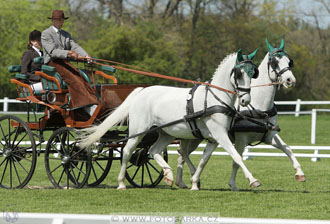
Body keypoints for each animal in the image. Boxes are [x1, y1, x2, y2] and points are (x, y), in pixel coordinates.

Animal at [79, 49, 260, 189]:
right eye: (239, 73)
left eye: (253, 73)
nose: (246, 100)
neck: (214, 98)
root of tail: (141, 91)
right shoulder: (220, 135)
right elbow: (236, 156)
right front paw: (253, 180)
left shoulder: (213, 139)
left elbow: (204, 160)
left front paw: (194, 182)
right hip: (138, 131)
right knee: (127, 151)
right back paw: (122, 183)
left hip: (166, 133)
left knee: (154, 150)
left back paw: (169, 175)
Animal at [175, 38, 306, 191]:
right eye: (274, 62)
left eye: (289, 61)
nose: (290, 80)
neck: (259, 105)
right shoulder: (241, 139)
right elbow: (236, 161)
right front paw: (238, 183)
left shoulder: (269, 135)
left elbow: (287, 148)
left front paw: (299, 173)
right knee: (182, 154)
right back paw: (182, 179)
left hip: (194, 137)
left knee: (182, 154)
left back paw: (182, 181)